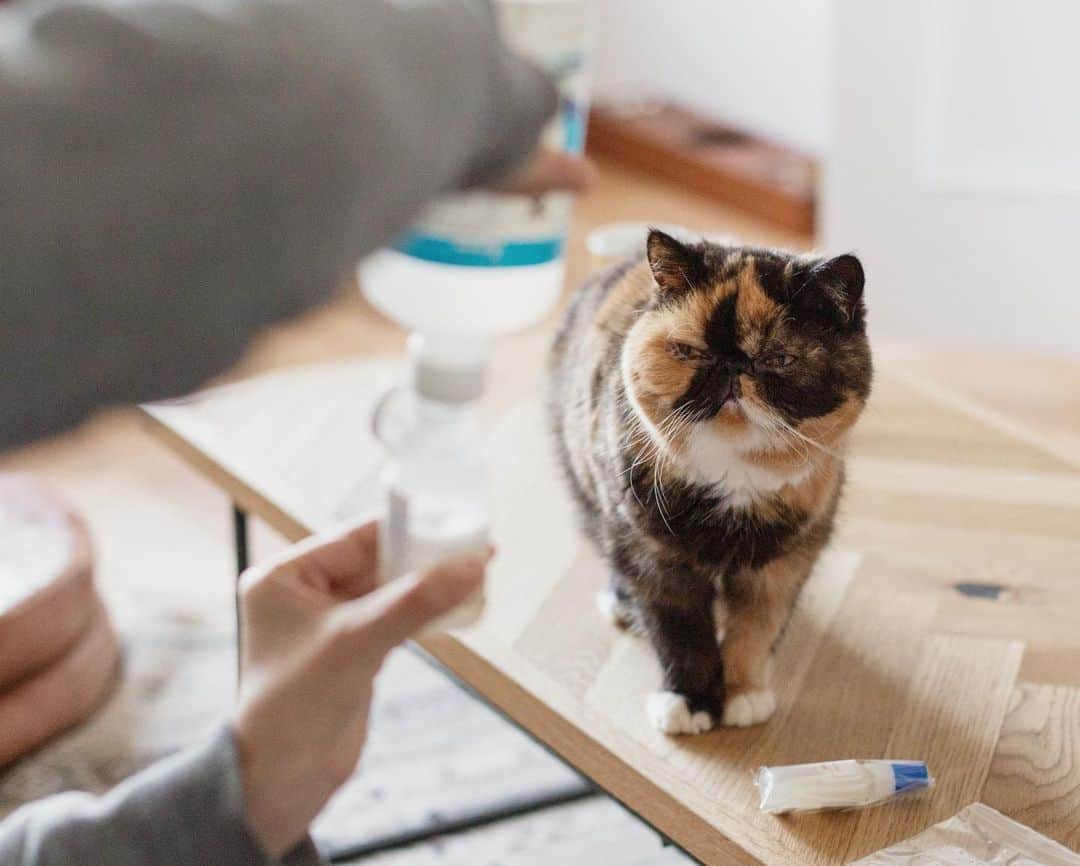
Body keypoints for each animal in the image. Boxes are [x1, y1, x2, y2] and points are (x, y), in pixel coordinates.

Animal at [548, 231, 868, 734]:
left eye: (779, 358)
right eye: (692, 352)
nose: (732, 367)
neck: (733, 482)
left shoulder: (783, 563)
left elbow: (756, 630)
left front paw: (743, 695)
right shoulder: (655, 559)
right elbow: (682, 635)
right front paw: (691, 702)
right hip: (590, 492)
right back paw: (622, 602)